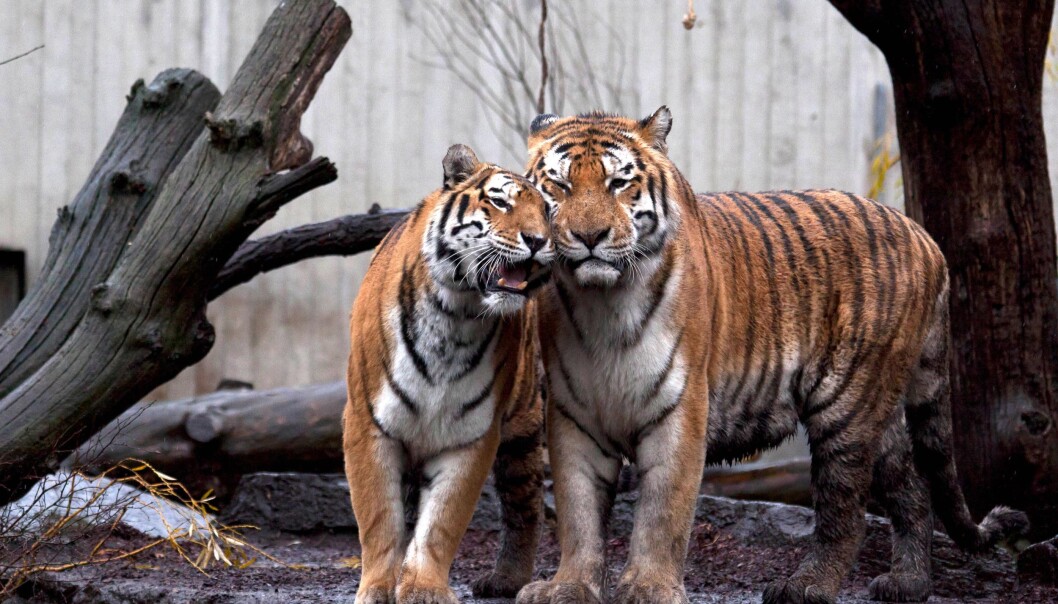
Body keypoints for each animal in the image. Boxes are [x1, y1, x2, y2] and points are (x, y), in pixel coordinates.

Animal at [342, 144, 553, 604]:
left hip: (523, 429)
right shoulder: (368, 426)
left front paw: (424, 588)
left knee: (524, 505)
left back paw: (508, 580)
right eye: (500, 202)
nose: (537, 241)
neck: (456, 317)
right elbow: (379, 517)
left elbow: (442, 521)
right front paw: (378, 589)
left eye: (547, 211)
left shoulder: (471, 434)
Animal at [514, 108, 1029, 604]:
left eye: (619, 182)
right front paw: (568, 587)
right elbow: (578, 513)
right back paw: (909, 583)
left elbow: (663, 510)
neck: (603, 303)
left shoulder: (680, 410)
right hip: (879, 413)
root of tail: (926, 238)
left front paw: (649, 588)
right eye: (559, 184)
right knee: (913, 488)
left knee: (846, 512)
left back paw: (807, 587)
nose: (590, 236)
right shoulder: (573, 418)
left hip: (847, 404)